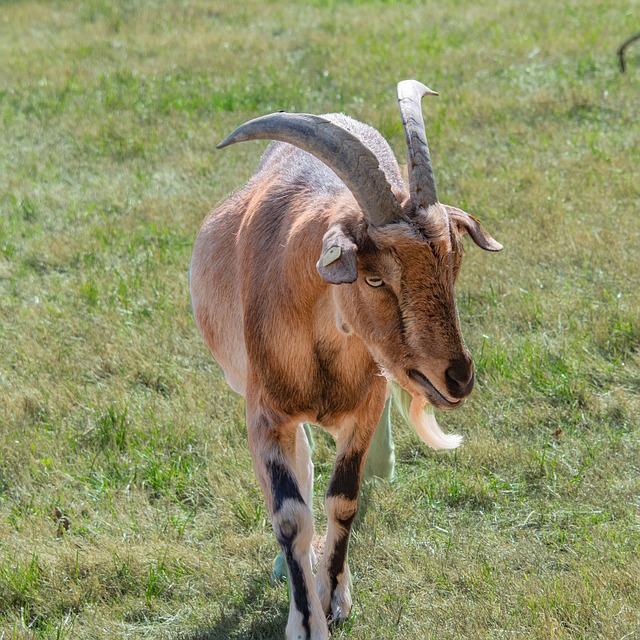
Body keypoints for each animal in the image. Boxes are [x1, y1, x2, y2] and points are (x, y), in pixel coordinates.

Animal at [188, 81, 502, 640]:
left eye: (454, 263)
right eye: (374, 278)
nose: (458, 377)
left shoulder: (365, 404)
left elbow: (344, 497)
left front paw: (334, 596)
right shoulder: (263, 413)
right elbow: (290, 512)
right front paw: (306, 619)